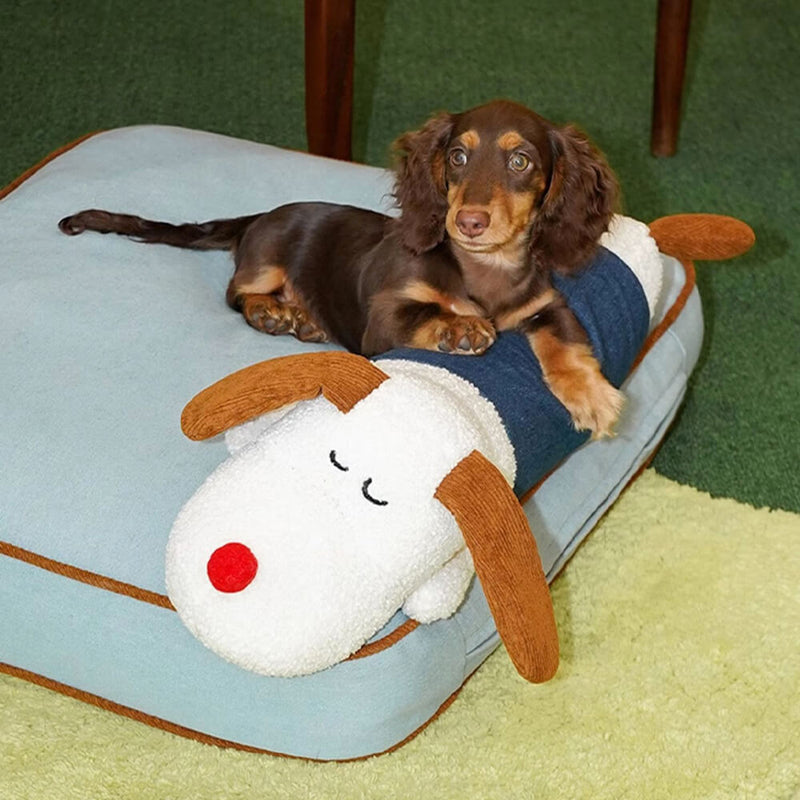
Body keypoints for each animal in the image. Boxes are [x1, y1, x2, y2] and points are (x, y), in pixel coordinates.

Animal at [61, 101, 624, 438]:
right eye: (458, 157)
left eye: (521, 161)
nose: (469, 221)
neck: (484, 268)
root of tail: (258, 216)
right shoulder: (384, 318)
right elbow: (427, 313)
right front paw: (461, 327)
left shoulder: (547, 304)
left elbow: (567, 343)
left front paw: (592, 397)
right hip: (265, 261)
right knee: (235, 292)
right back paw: (271, 312)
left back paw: (304, 319)